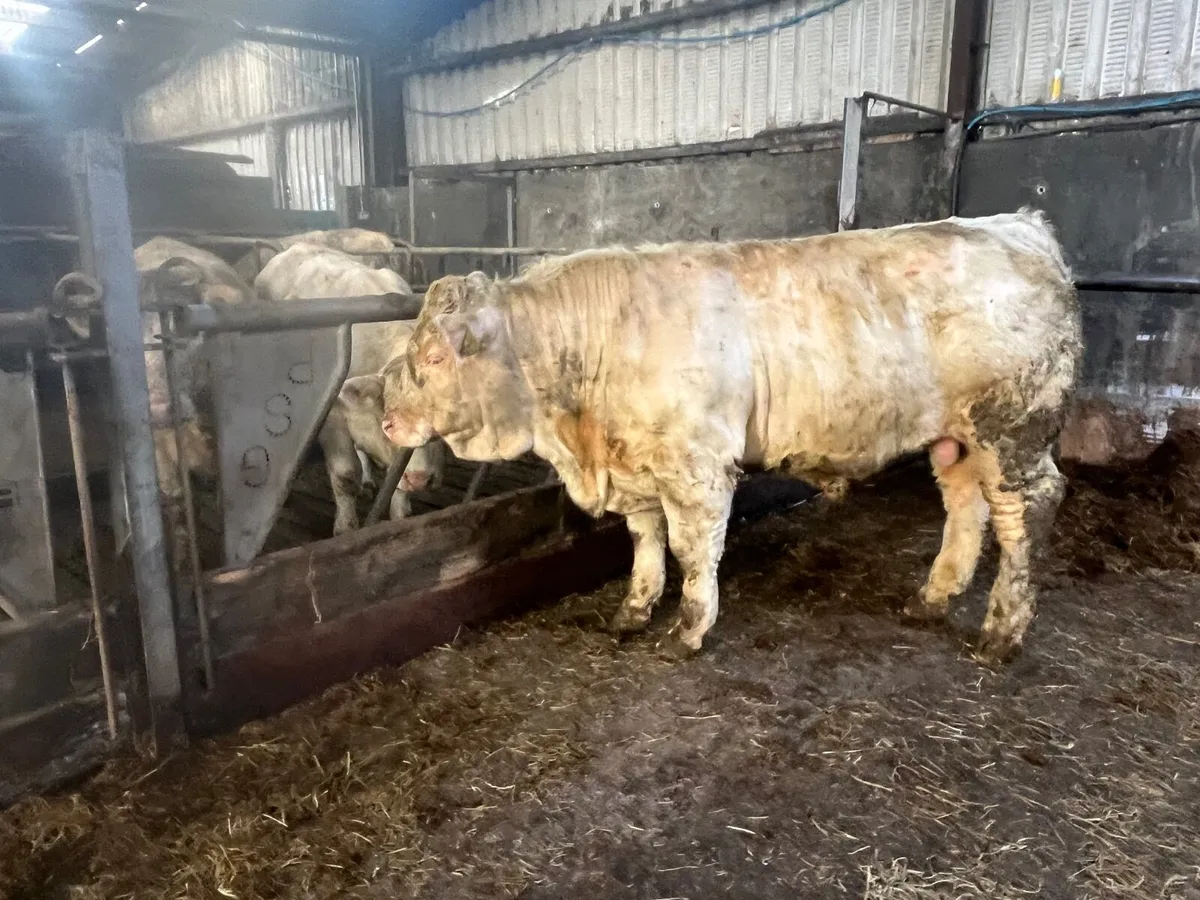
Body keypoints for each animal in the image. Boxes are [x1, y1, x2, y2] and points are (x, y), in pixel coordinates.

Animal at [255, 242, 445, 533]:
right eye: (392, 419)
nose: (421, 479)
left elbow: (396, 476)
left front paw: (401, 514)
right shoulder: (332, 415)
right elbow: (346, 476)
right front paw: (345, 528)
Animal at [378, 209, 1082, 665]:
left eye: (435, 357)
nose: (387, 416)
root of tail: (1022, 225)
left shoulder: (697, 466)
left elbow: (691, 550)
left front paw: (689, 631)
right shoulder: (638, 465)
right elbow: (646, 542)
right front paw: (633, 611)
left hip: (1014, 428)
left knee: (1027, 512)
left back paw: (1002, 632)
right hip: (956, 437)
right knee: (965, 506)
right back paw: (932, 599)